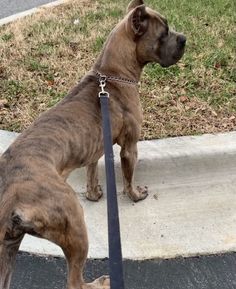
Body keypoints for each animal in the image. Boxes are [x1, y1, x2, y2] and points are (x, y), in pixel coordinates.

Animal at [0, 1, 186, 286]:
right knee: (74, 281)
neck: (112, 75)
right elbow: (128, 177)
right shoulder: (129, 147)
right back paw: (101, 282)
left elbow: (91, 169)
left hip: (7, 250)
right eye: (164, 32)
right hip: (74, 225)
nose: (184, 38)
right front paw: (135, 195)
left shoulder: (97, 145)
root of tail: (12, 201)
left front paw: (94, 193)